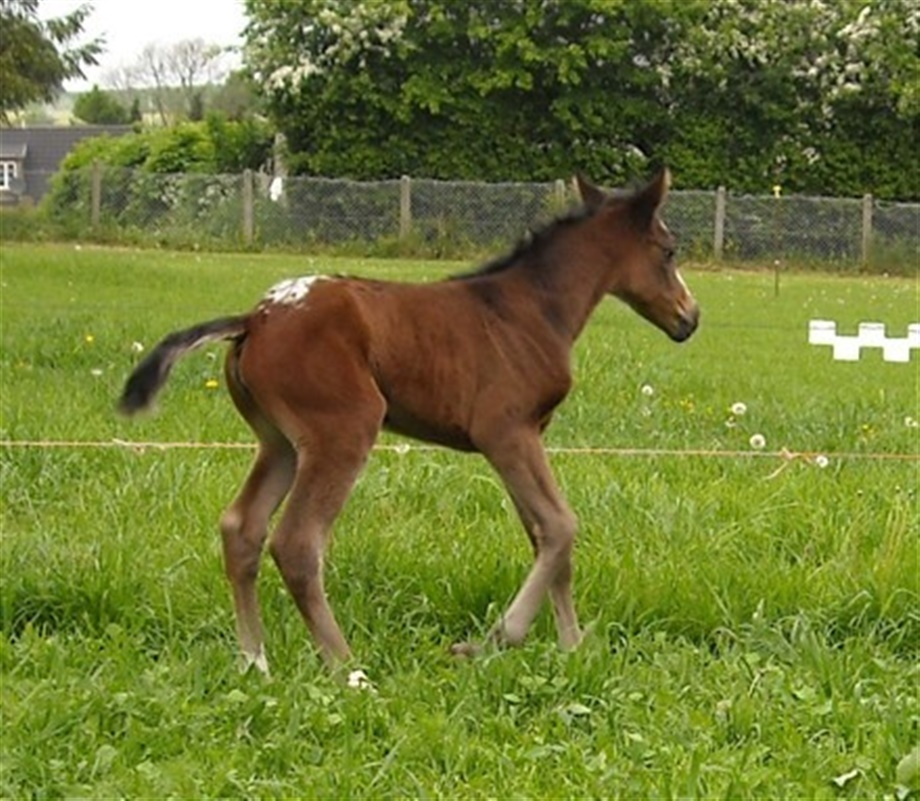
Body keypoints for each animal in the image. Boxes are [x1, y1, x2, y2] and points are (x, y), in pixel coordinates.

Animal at [119, 169, 699, 675]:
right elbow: (560, 526)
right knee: (298, 543)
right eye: (669, 251)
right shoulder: (505, 431)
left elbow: (543, 536)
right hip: (343, 430)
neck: (532, 309)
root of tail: (254, 320)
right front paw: (494, 640)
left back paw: (255, 662)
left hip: (280, 442)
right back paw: (347, 668)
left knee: (242, 529)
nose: (689, 318)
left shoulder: (526, 435)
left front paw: (572, 646)